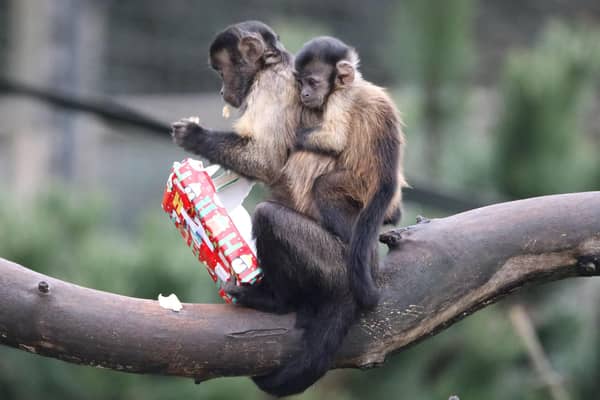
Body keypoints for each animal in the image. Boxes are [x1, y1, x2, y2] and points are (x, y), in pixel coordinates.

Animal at [169, 21, 358, 396]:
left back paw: (276, 301)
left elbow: (266, 160)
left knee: (269, 218)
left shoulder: (271, 88)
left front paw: (193, 137)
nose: (222, 89)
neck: (273, 64)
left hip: (332, 263)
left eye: (222, 70)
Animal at [294, 36, 408, 310]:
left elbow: (334, 139)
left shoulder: (339, 98)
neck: (352, 83)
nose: (304, 94)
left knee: (324, 187)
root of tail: (386, 179)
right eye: (300, 82)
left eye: (312, 82)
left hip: (360, 184)